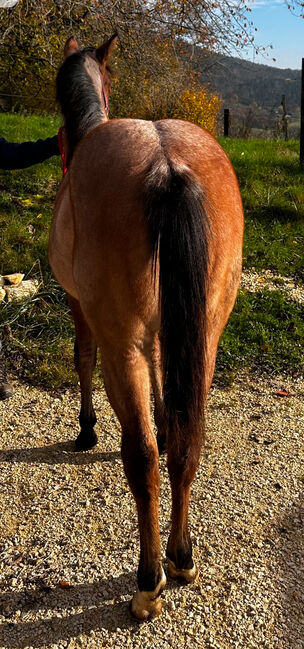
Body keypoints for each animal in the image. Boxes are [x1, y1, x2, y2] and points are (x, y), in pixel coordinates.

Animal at [50, 34, 245, 616]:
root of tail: (167, 166)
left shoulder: (82, 307)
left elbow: (82, 359)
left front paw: (87, 429)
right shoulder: (164, 336)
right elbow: (167, 404)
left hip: (123, 344)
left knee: (141, 457)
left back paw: (148, 578)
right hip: (205, 338)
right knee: (184, 444)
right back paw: (180, 556)